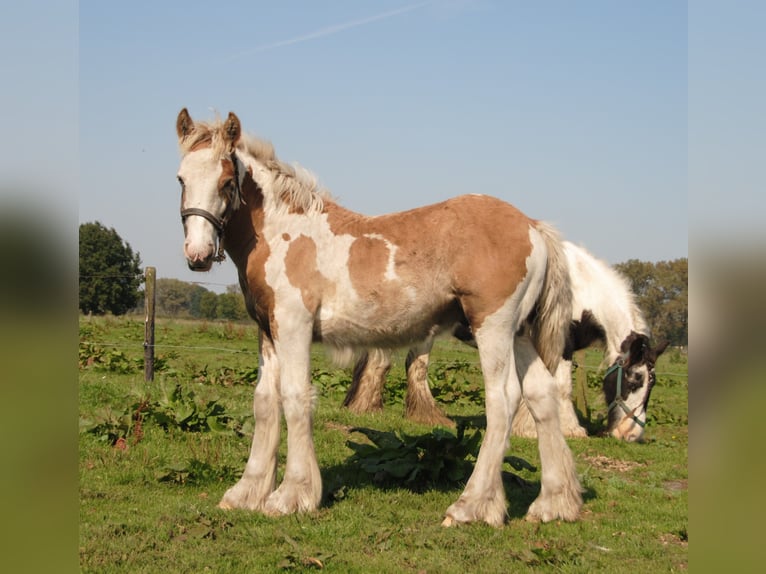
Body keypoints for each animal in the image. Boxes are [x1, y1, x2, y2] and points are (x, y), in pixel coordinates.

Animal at [174, 108, 584, 528]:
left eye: (226, 181)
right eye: (181, 178)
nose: (198, 255)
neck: (286, 231)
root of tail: (534, 226)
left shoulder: (293, 325)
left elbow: (295, 397)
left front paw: (292, 495)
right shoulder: (267, 331)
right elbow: (264, 401)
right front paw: (247, 492)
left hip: (493, 327)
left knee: (502, 399)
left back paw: (471, 506)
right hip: (520, 333)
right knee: (542, 395)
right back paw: (554, 503)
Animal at [344, 241, 668, 444]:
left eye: (652, 384)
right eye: (636, 379)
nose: (631, 435)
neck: (580, 289)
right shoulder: (561, 345)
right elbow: (562, 387)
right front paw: (570, 429)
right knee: (401, 364)